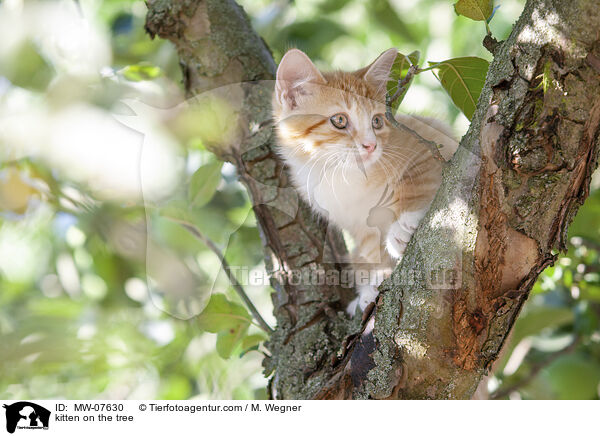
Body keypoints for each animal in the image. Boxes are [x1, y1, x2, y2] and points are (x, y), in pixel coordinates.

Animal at [274, 47, 458, 314]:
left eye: (377, 121)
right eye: (340, 120)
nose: (371, 145)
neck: (341, 175)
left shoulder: (430, 144)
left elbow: (419, 183)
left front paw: (405, 224)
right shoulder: (354, 224)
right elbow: (372, 249)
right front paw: (377, 279)